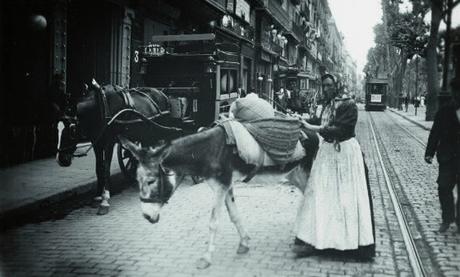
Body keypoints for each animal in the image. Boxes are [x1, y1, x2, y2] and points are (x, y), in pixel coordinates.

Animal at [55, 78, 181, 215]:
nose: (61, 160)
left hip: (158, 131)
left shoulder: (109, 142)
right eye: (56, 128)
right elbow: (99, 168)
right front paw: (97, 197)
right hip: (145, 134)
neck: (101, 108)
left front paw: (105, 201)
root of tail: (162, 94)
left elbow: (106, 169)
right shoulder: (97, 142)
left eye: (72, 130)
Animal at [120, 122, 318, 268]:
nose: (147, 216)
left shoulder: (221, 187)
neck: (207, 150)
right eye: (136, 180)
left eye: (151, 181)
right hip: (297, 175)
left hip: (309, 173)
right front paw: (244, 243)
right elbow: (234, 215)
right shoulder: (226, 187)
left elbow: (213, 223)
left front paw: (206, 258)